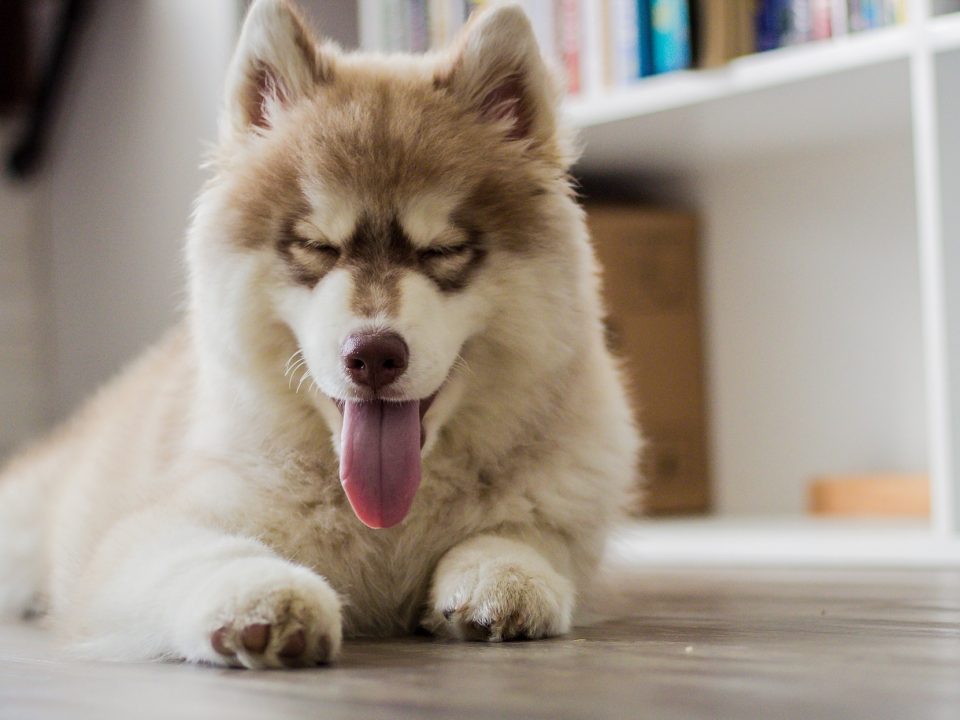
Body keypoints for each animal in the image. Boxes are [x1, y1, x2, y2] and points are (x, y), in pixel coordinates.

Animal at [0, 0, 636, 668]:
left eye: (442, 250)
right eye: (317, 246)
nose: (374, 355)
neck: (387, 523)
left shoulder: (566, 514)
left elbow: (525, 535)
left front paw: (502, 573)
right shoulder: (145, 531)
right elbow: (205, 553)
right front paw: (261, 594)